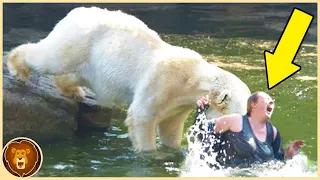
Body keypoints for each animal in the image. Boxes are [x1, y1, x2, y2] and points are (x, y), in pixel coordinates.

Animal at [7, 6, 251, 152]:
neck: (192, 79)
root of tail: (76, 11)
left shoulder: (179, 105)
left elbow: (170, 127)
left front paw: (173, 150)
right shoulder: (163, 82)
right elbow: (142, 116)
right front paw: (150, 154)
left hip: (92, 61)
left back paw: (73, 91)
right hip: (79, 40)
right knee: (52, 57)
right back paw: (17, 68)